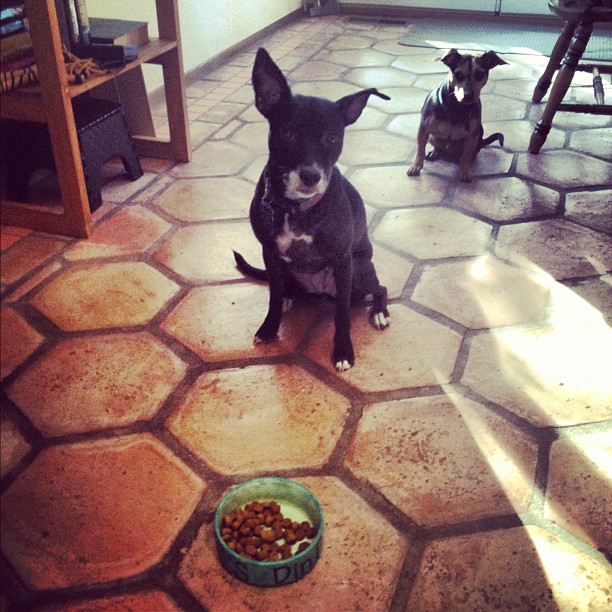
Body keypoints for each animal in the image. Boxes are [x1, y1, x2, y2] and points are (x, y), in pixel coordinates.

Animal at [232, 47, 390, 370]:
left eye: (331, 137)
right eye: (289, 133)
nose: (310, 176)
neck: (297, 209)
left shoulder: (342, 261)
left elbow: (342, 314)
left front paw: (342, 350)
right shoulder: (270, 252)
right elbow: (273, 296)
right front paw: (270, 327)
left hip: (359, 272)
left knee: (378, 289)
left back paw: (379, 312)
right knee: (283, 288)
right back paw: (289, 297)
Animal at [406, 47, 506, 182]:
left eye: (479, 74)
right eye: (458, 75)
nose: (468, 96)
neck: (456, 108)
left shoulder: (472, 135)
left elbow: (466, 155)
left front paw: (464, 171)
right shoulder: (423, 129)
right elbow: (420, 150)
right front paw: (416, 166)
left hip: (479, 133)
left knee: (470, 153)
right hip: (432, 136)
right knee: (438, 146)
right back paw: (435, 152)